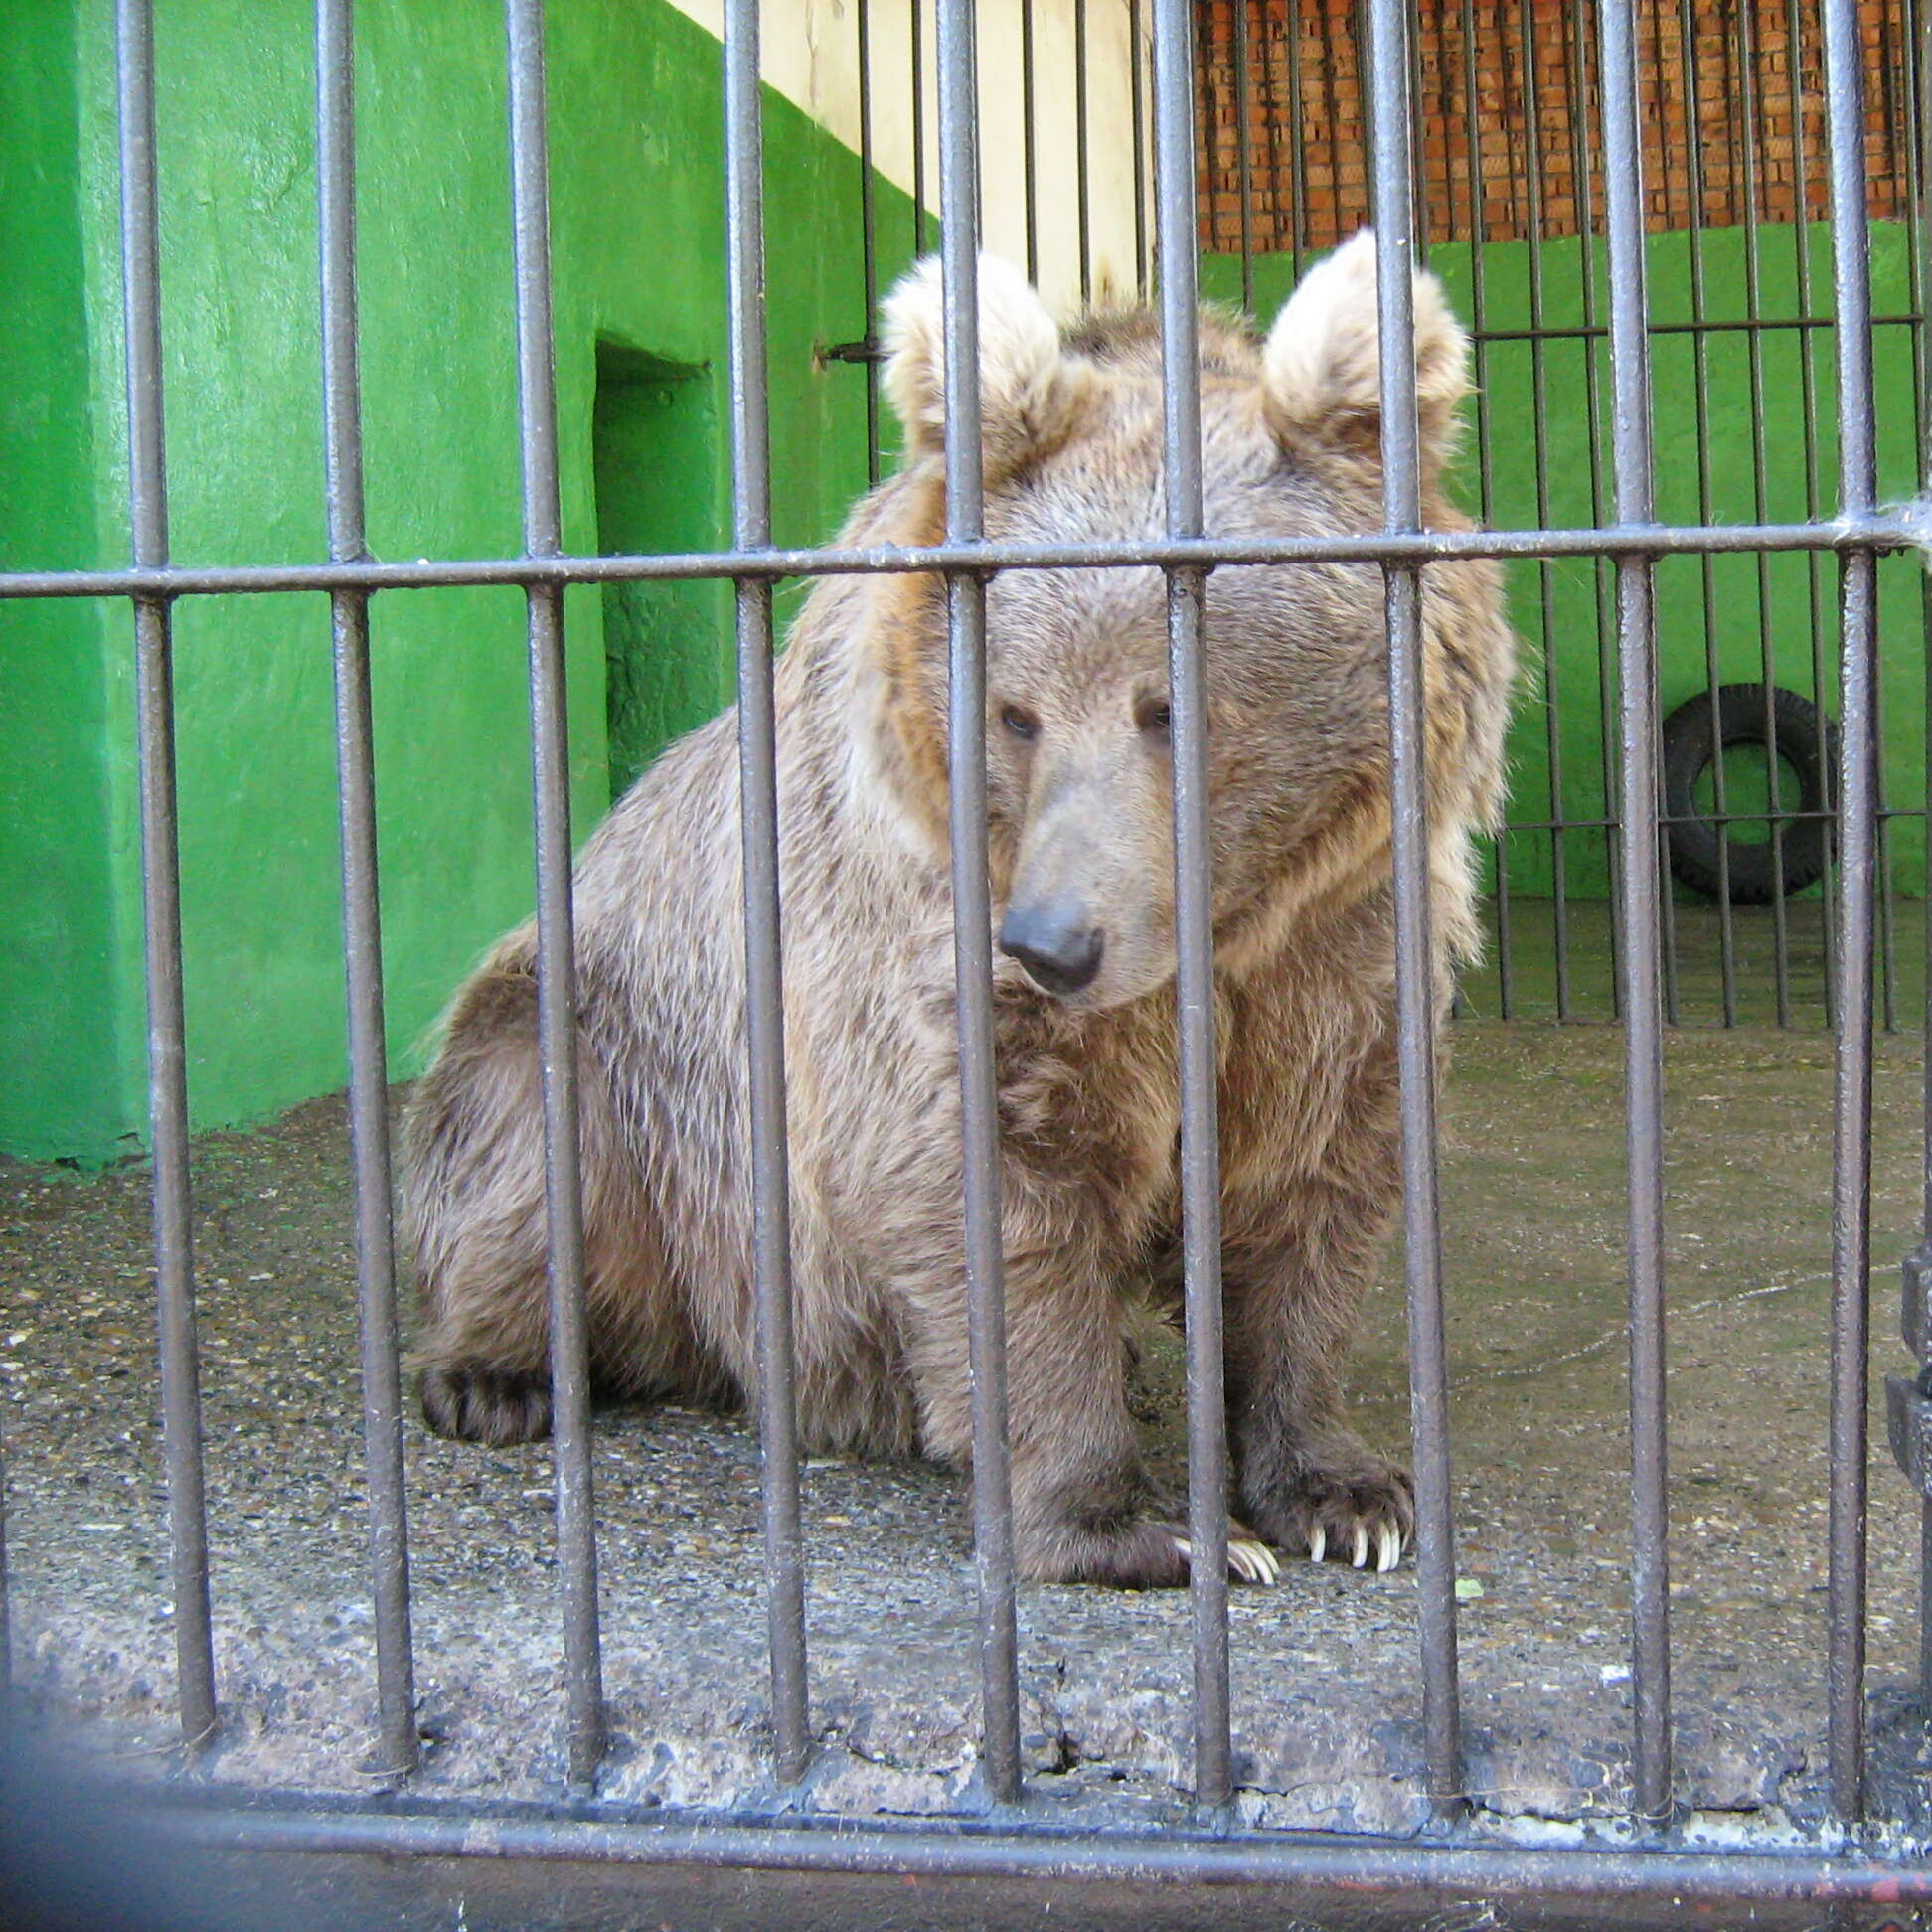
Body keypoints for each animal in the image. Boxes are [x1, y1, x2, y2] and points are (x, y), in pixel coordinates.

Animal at [407, 230, 1515, 1584]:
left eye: (1171, 706)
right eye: (1016, 711)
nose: (1053, 943)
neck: (1221, 928)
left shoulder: (1339, 936)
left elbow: (1309, 1173)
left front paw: (1343, 1494)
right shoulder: (919, 927)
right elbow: (989, 1180)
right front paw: (1134, 1524)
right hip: (621, 1061)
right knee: (521, 1139)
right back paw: (494, 1373)